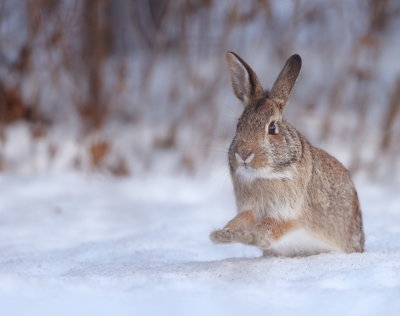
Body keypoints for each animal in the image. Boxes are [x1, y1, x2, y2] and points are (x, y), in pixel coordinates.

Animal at [209, 52, 366, 256]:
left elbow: (269, 227)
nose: (243, 155)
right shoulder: (251, 208)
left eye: (272, 128)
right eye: (238, 125)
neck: (265, 176)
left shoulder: (289, 214)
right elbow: (241, 220)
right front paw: (223, 234)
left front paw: (252, 237)